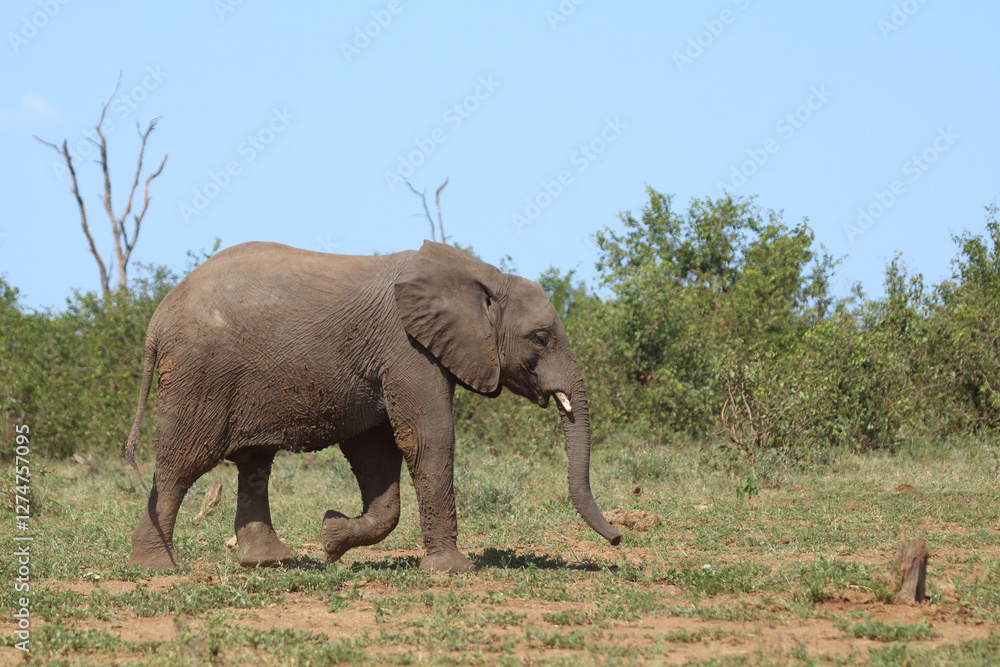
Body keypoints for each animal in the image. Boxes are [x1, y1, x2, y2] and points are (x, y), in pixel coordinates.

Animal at [125, 240, 622, 572]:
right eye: (540, 338)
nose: (618, 538)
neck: (483, 277)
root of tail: (155, 321)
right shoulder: (407, 348)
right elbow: (428, 439)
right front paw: (454, 570)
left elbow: (376, 453)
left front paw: (331, 538)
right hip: (200, 373)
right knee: (183, 462)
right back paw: (158, 568)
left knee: (253, 464)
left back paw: (269, 562)